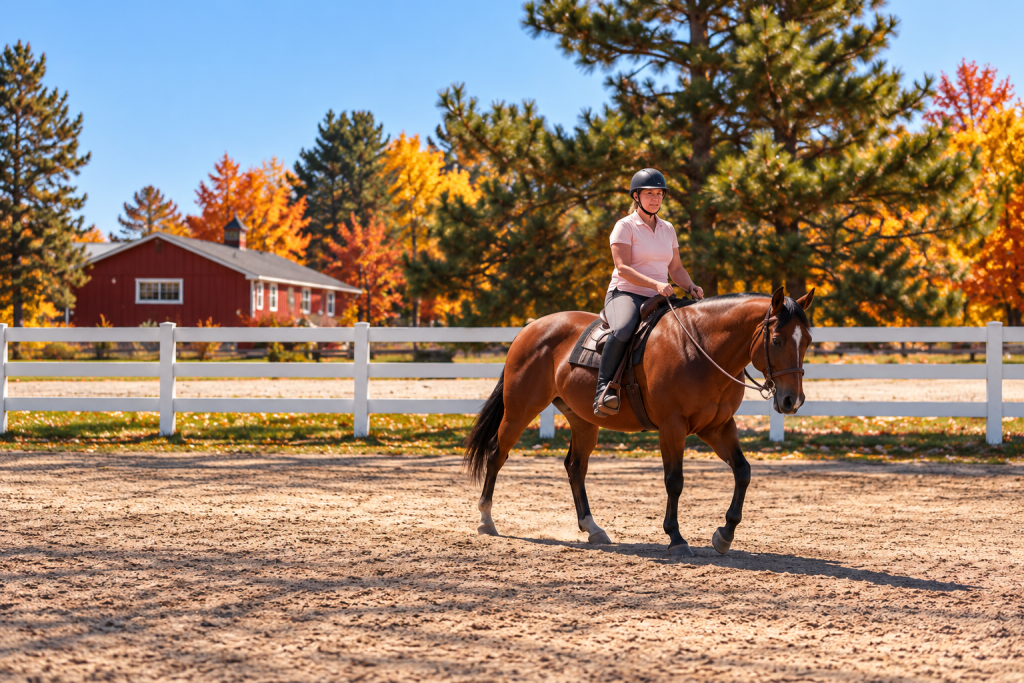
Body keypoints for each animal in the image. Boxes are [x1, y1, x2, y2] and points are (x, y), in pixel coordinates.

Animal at [463, 287, 815, 557]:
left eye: (808, 341)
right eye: (778, 340)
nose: (792, 401)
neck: (701, 348)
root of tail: (531, 329)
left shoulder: (718, 427)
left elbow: (742, 472)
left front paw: (724, 535)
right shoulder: (673, 428)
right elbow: (675, 481)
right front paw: (676, 538)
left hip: (583, 422)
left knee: (575, 467)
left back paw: (593, 528)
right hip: (520, 410)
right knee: (497, 454)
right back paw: (486, 520)